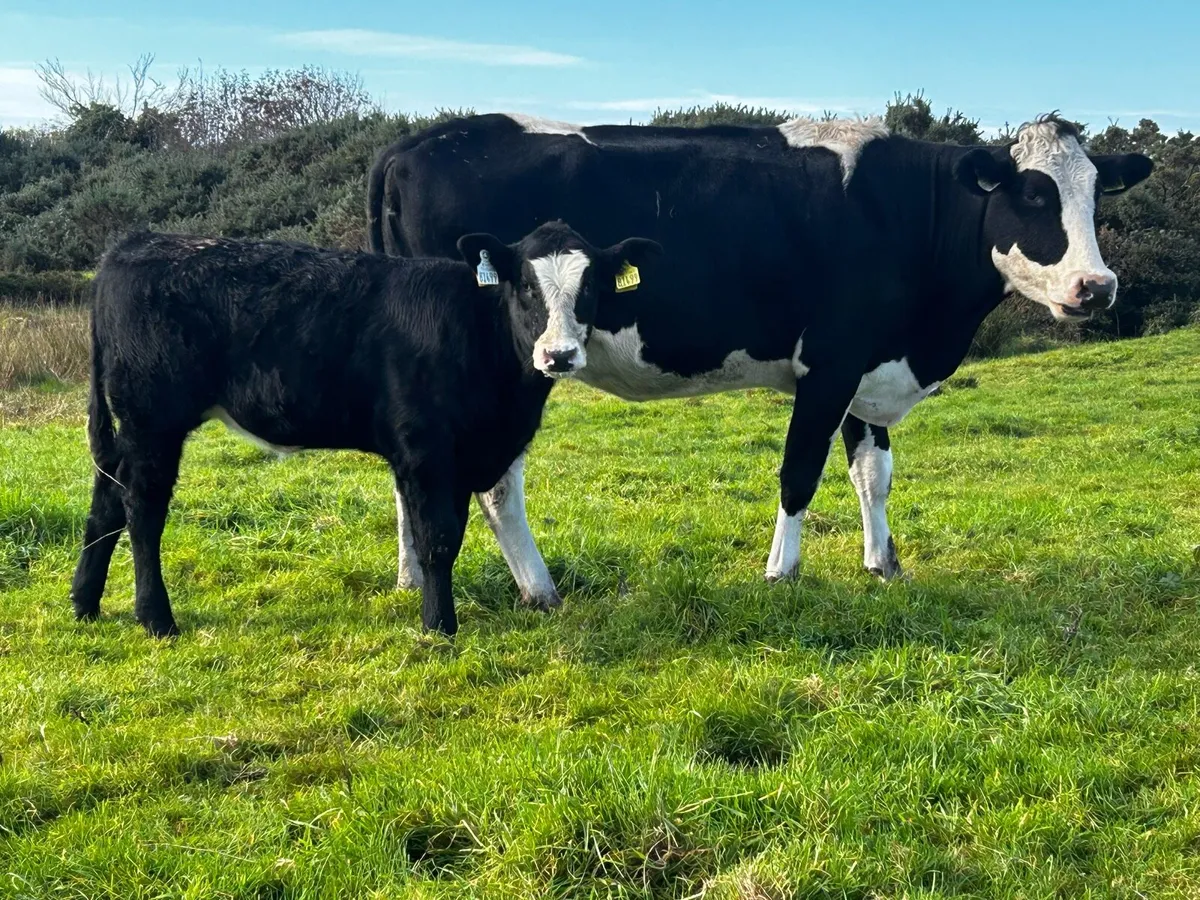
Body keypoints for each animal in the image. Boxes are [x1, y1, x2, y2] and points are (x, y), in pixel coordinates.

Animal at [69, 223, 661, 637]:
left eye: (589, 288)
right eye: (525, 288)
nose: (559, 355)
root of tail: (137, 243)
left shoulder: (462, 453)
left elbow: (450, 538)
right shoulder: (424, 450)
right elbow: (435, 540)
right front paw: (439, 628)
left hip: (132, 428)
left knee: (106, 498)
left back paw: (84, 604)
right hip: (153, 421)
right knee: (142, 511)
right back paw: (156, 620)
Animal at [365, 112, 1153, 608]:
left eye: (1094, 195)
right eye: (1032, 195)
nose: (1097, 286)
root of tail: (415, 143)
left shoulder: (868, 363)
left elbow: (874, 472)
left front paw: (884, 563)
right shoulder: (830, 364)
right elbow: (799, 472)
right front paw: (782, 573)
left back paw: (411, 578)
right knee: (495, 483)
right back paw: (537, 587)